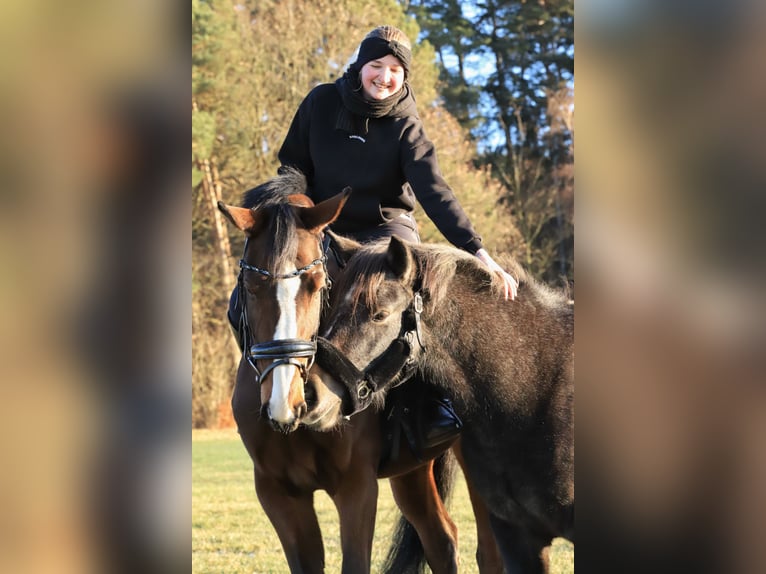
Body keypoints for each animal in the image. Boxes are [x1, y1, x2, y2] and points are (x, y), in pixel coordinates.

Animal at [216, 169, 502, 574]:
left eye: (316, 284)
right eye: (250, 285)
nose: (285, 401)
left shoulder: (357, 488)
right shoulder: (279, 494)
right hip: (412, 473)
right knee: (441, 539)